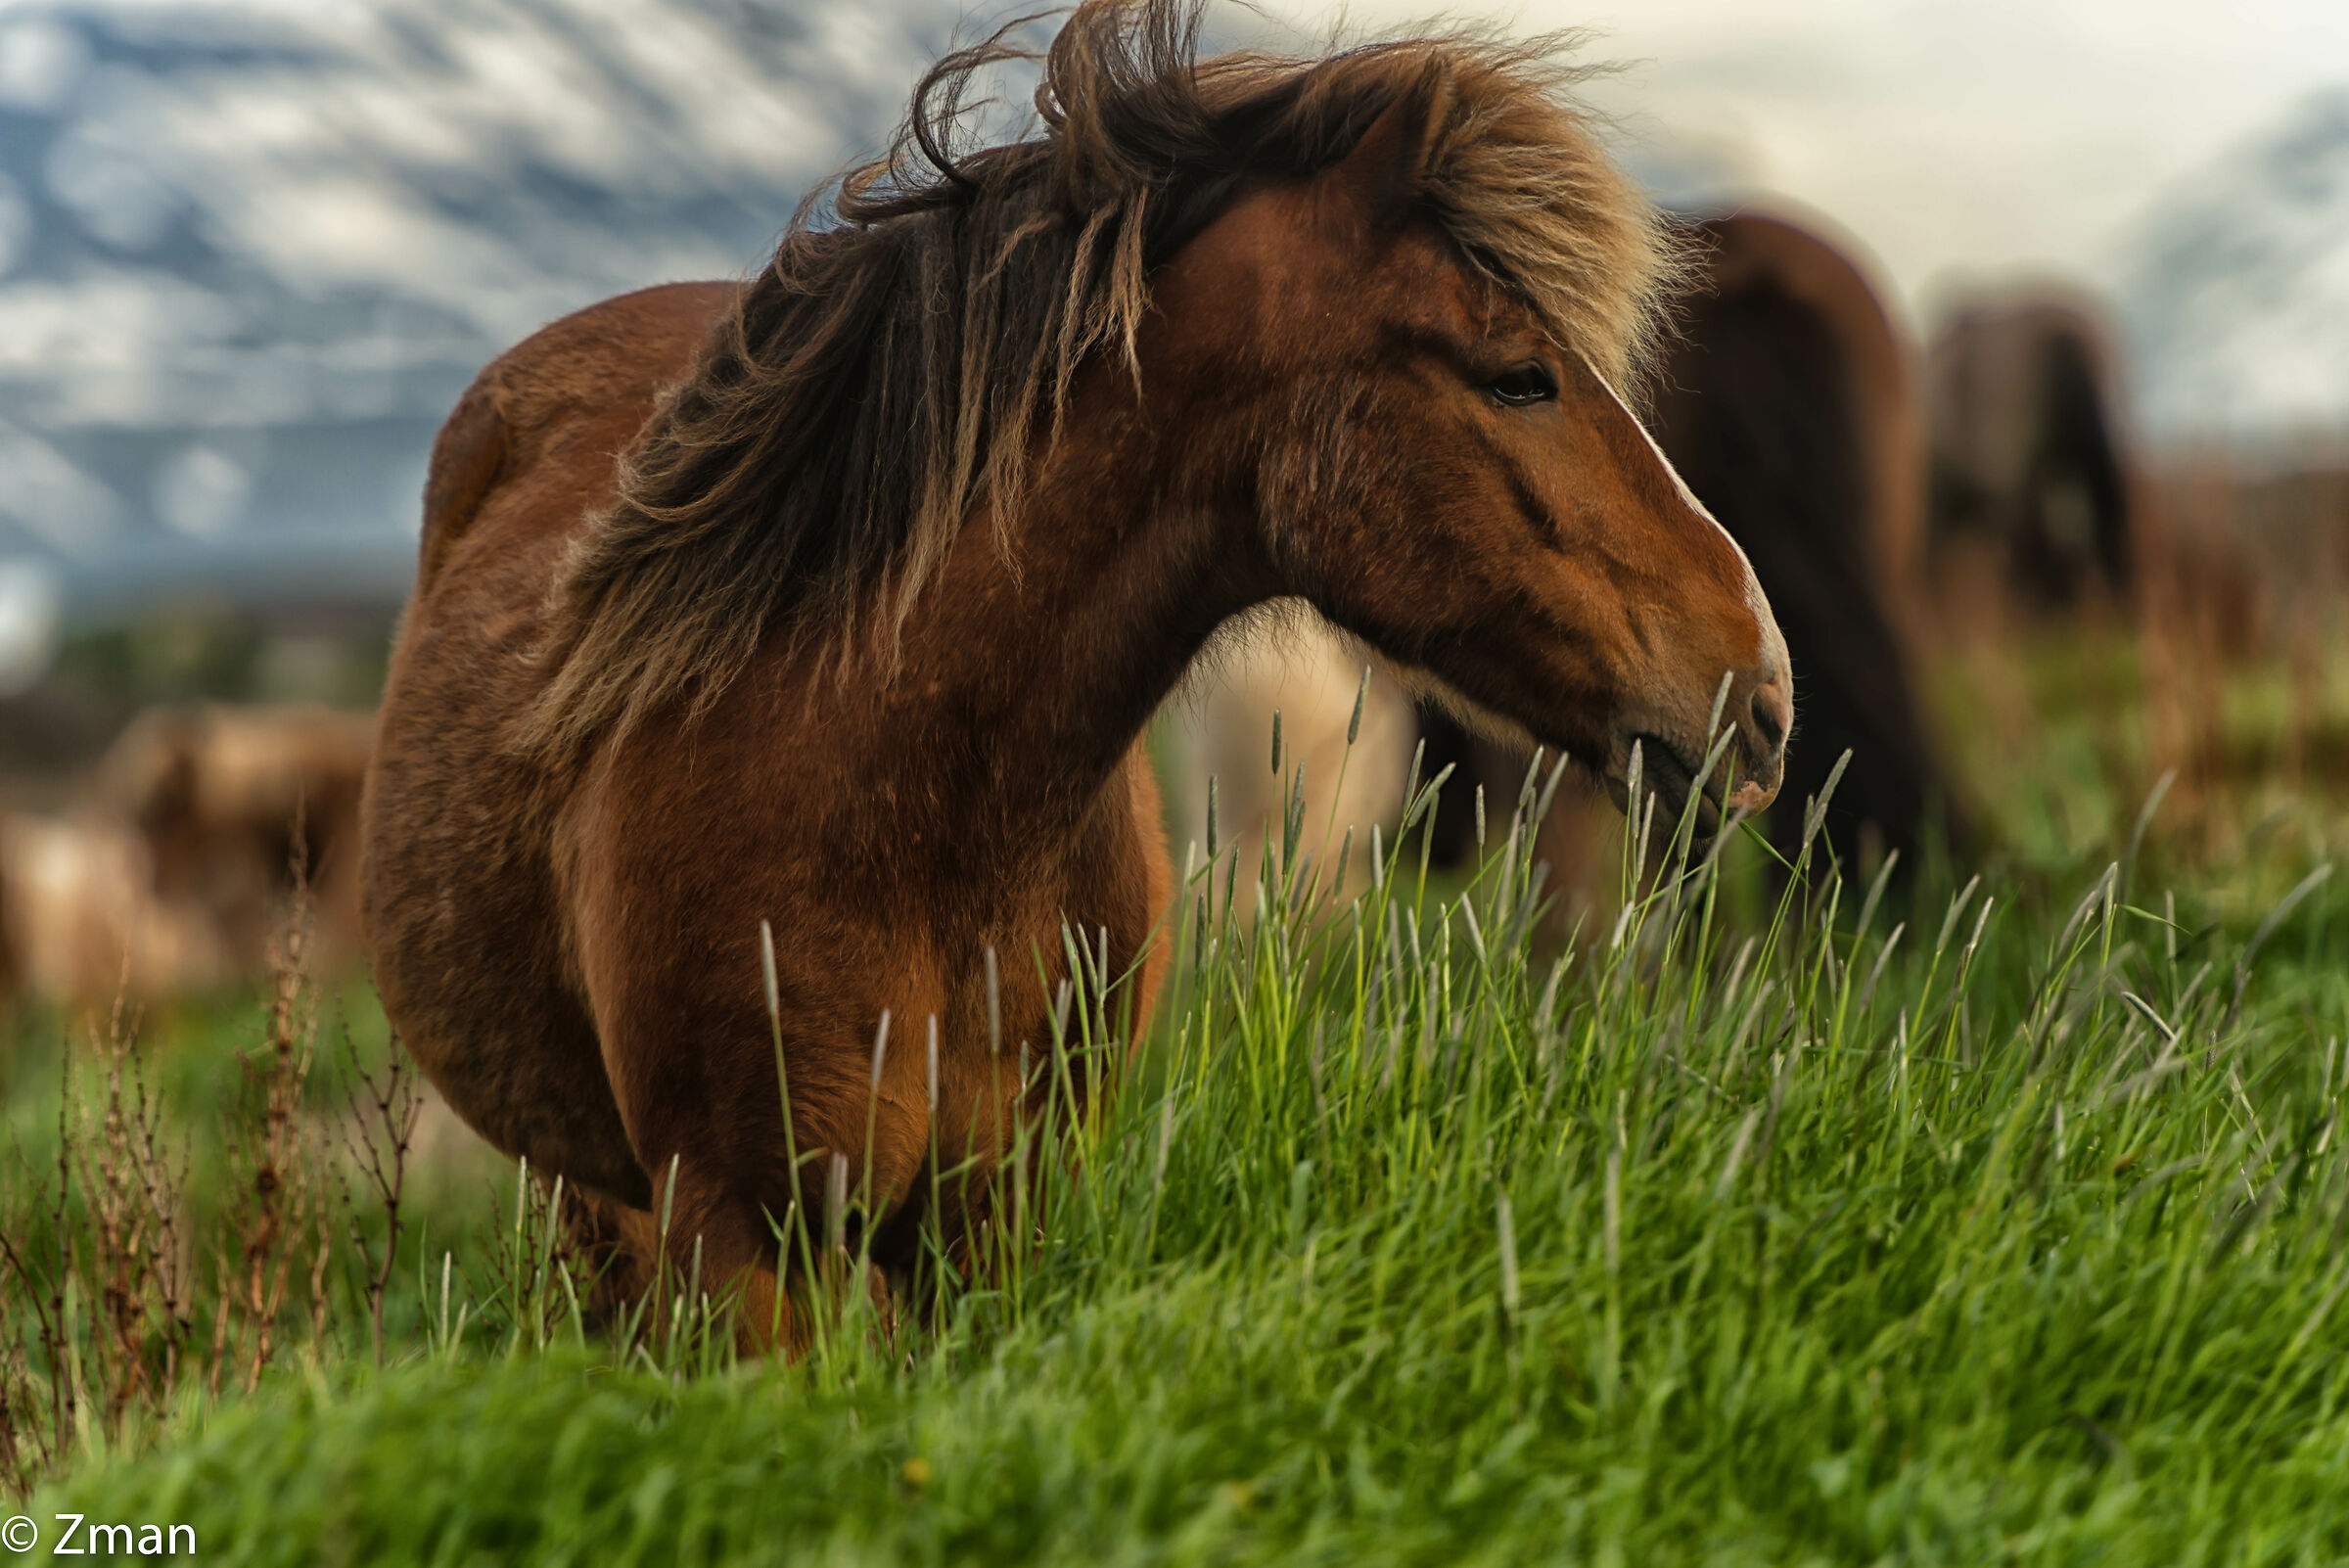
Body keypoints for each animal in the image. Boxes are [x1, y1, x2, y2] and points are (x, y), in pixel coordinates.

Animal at [359, 0, 1792, 1349]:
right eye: (1520, 377)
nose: (1762, 692)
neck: (910, 801)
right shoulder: (749, 1242)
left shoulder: (999, 1222)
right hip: (593, 1196)